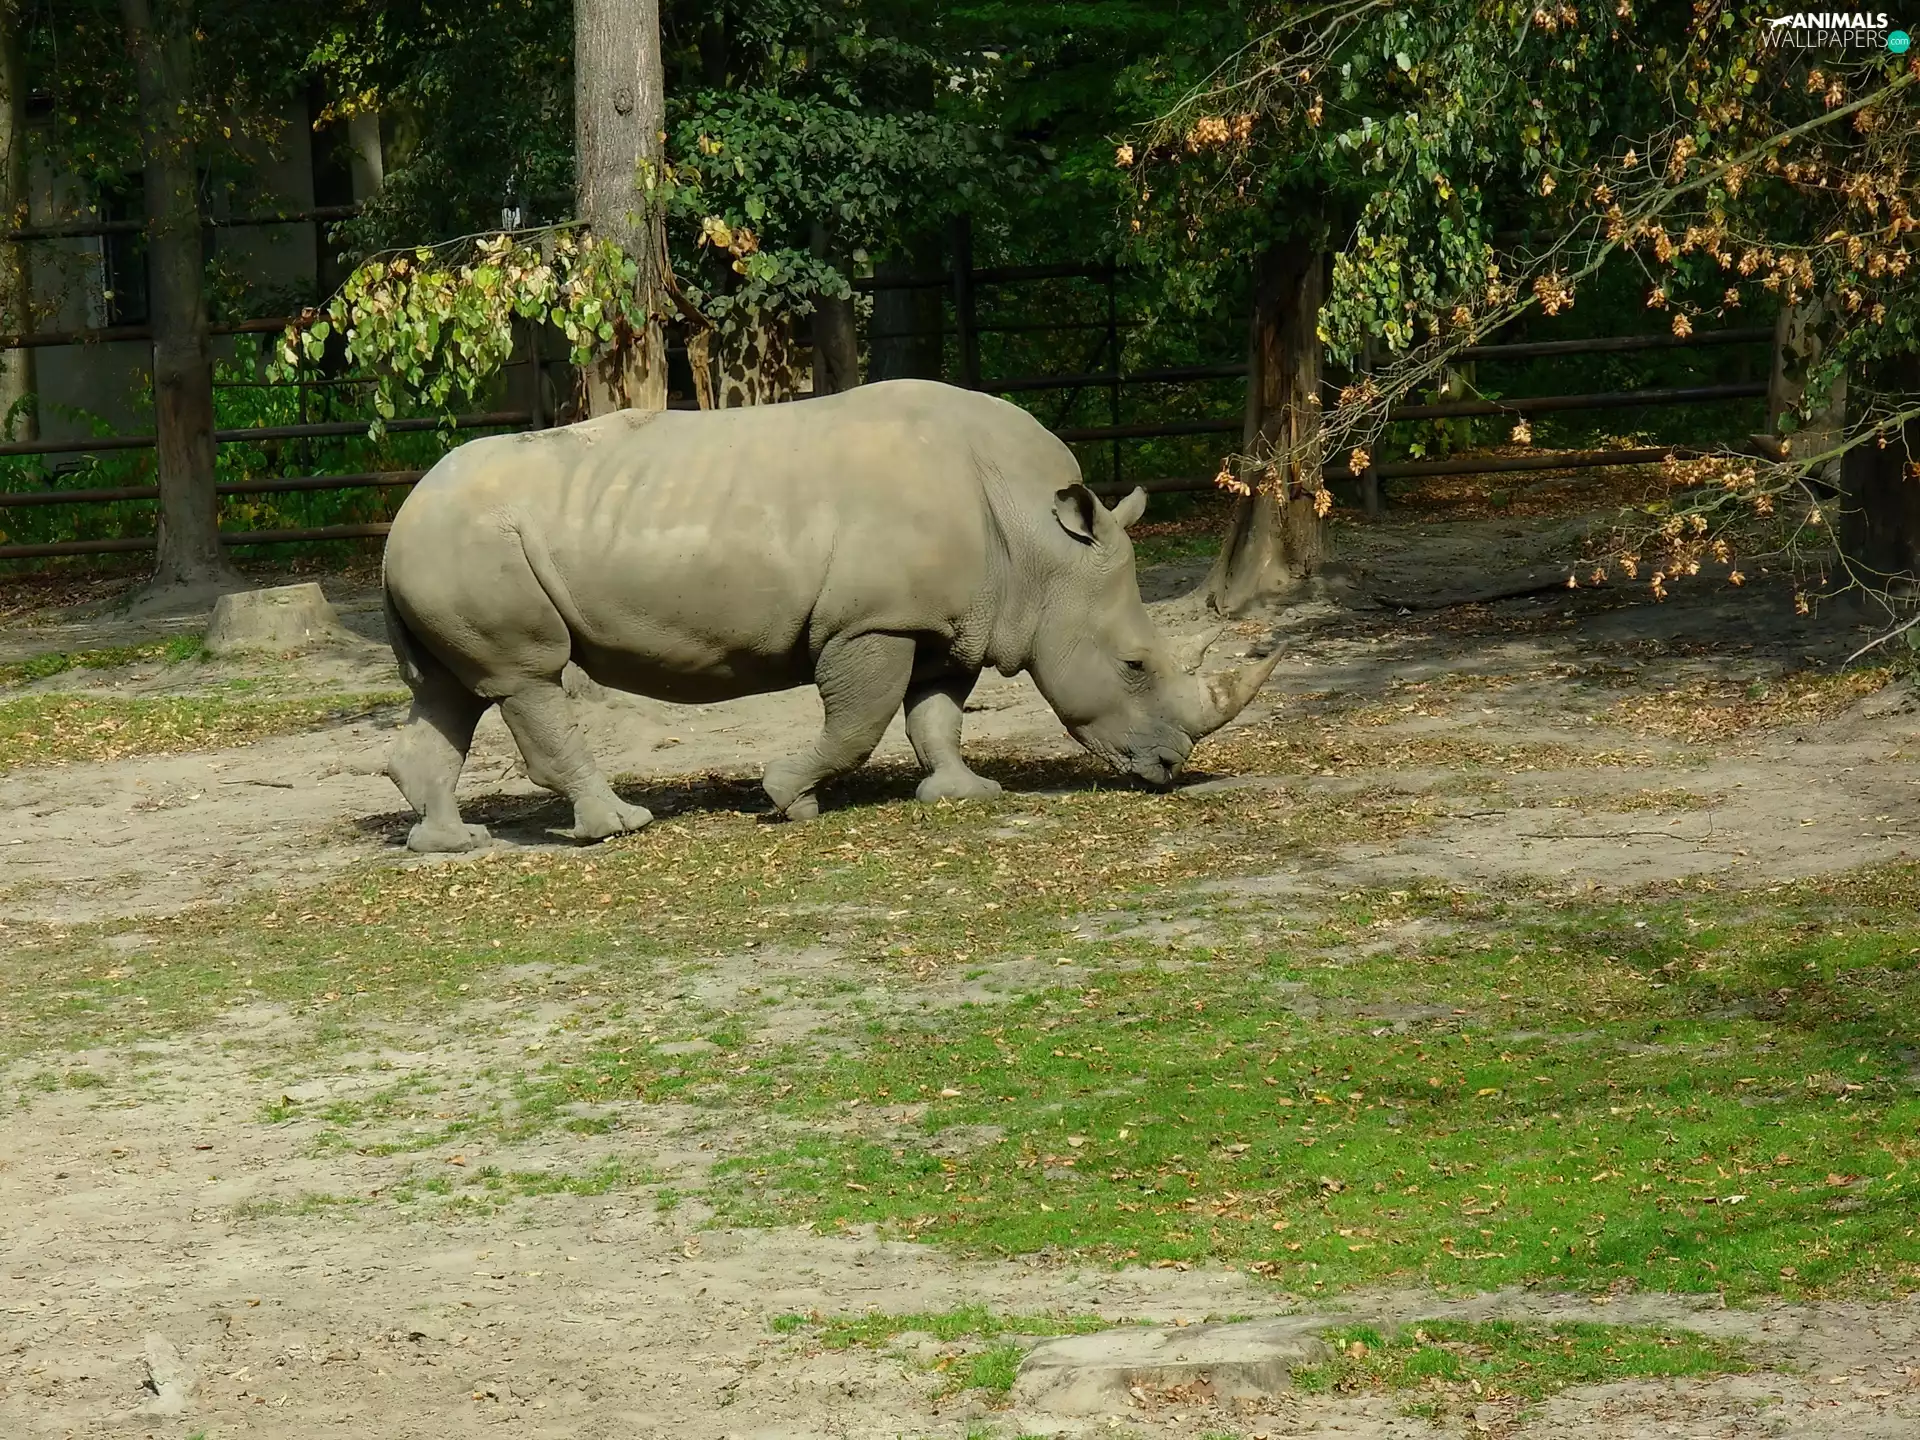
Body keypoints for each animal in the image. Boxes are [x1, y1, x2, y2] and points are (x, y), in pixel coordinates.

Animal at [380, 379, 1279, 853]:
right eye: (1134, 665)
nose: (1169, 768)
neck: (1039, 547)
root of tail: (401, 516)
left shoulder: (950, 622)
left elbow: (935, 715)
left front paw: (965, 795)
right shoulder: (871, 621)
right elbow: (860, 720)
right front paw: (785, 798)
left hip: (442, 550)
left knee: (448, 692)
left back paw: (448, 843)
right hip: (472, 544)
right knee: (526, 676)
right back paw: (619, 827)